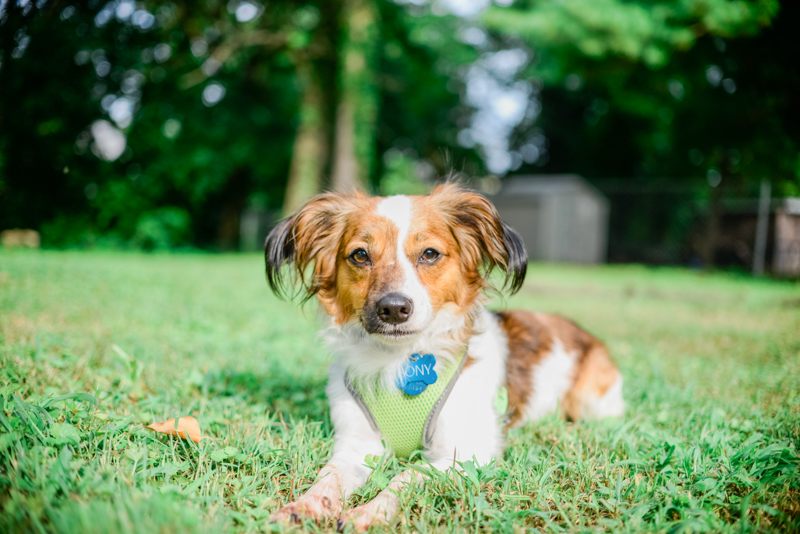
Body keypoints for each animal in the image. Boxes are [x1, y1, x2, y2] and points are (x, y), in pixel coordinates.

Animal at [264, 183, 624, 532]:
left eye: (429, 254)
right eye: (360, 255)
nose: (393, 308)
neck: (399, 361)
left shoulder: (464, 452)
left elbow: (407, 475)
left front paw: (371, 512)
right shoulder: (356, 444)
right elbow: (330, 476)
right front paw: (306, 505)